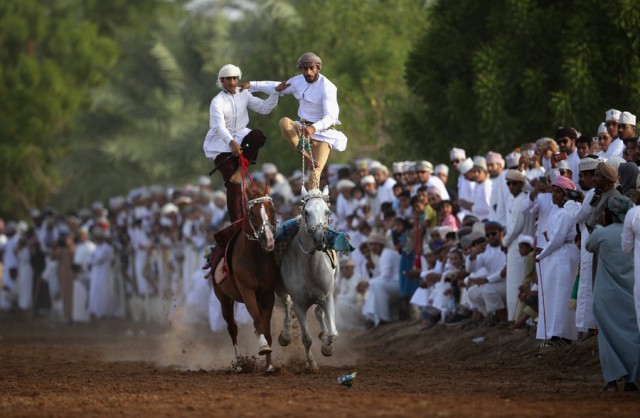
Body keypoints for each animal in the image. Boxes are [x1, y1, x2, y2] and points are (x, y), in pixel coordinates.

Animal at [211, 185, 278, 370]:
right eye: (252, 214)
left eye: (272, 210)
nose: (269, 239)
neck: (255, 258)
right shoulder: (247, 291)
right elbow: (257, 321)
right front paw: (263, 347)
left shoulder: (267, 294)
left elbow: (265, 326)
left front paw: (269, 365)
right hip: (224, 299)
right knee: (232, 328)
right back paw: (240, 363)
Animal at [278, 186, 342, 370]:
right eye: (306, 212)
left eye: (327, 211)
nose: (319, 238)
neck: (311, 268)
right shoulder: (299, 303)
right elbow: (306, 339)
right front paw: (312, 363)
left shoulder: (327, 296)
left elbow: (333, 334)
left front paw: (327, 346)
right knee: (286, 303)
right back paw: (285, 335)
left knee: (319, 312)